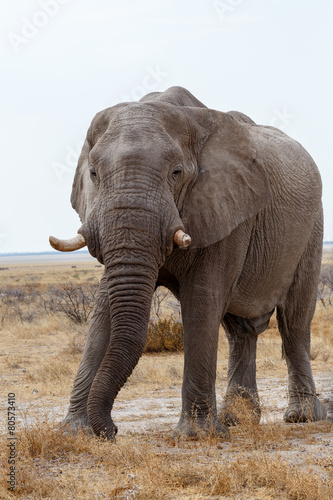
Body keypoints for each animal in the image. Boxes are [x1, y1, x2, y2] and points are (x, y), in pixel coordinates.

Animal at [50, 88, 326, 440]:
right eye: (94, 174)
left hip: (312, 227)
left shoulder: (227, 209)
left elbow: (201, 300)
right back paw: (237, 419)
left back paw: (302, 417)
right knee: (240, 331)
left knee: (294, 321)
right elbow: (103, 309)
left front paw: (196, 436)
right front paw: (74, 433)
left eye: (176, 172)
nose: (112, 430)